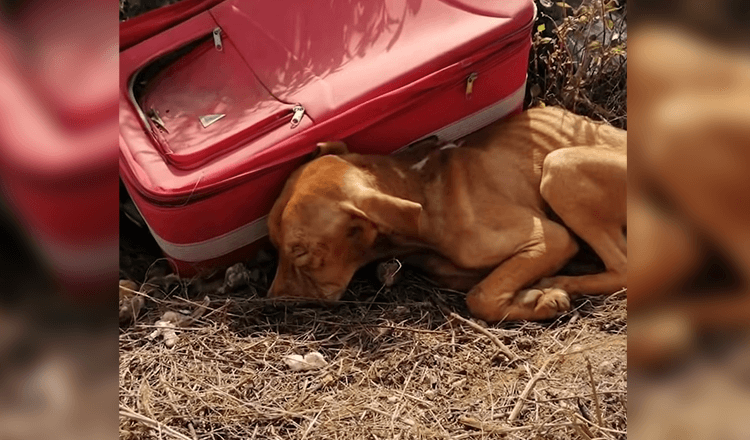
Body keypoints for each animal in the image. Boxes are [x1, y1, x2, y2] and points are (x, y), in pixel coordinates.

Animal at [268, 105, 624, 322]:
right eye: (274, 245)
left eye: (300, 252)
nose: (271, 301)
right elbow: (485, 286)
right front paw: (533, 298)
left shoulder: (551, 237)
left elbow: (481, 296)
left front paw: (542, 298)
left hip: (558, 166)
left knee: (621, 267)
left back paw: (563, 280)